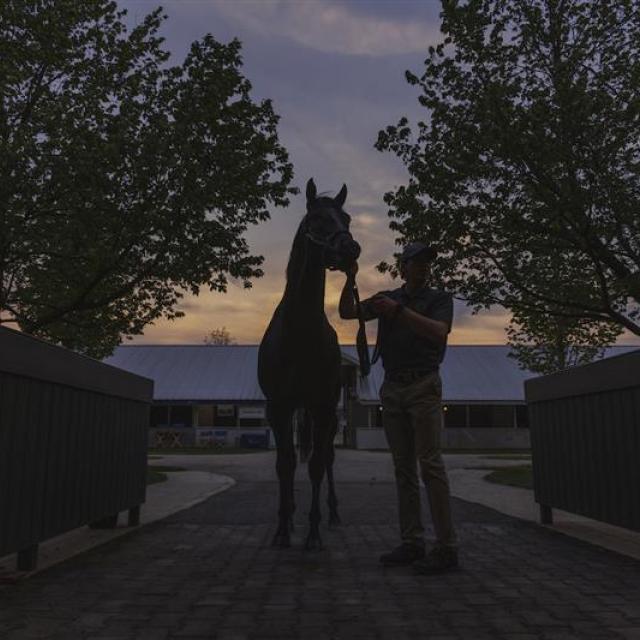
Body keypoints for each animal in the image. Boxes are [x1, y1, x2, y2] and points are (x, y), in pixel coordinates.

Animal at [258, 178, 361, 550]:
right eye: (316, 219)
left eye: (346, 218)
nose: (351, 249)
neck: (299, 332)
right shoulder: (278, 407)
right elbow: (285, 464)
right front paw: (281, 529)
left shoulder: (322, 407)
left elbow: (316, 464)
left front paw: (313, 532)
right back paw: (290, 513)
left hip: (325, 415)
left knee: (326, 457)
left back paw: (332, 513)